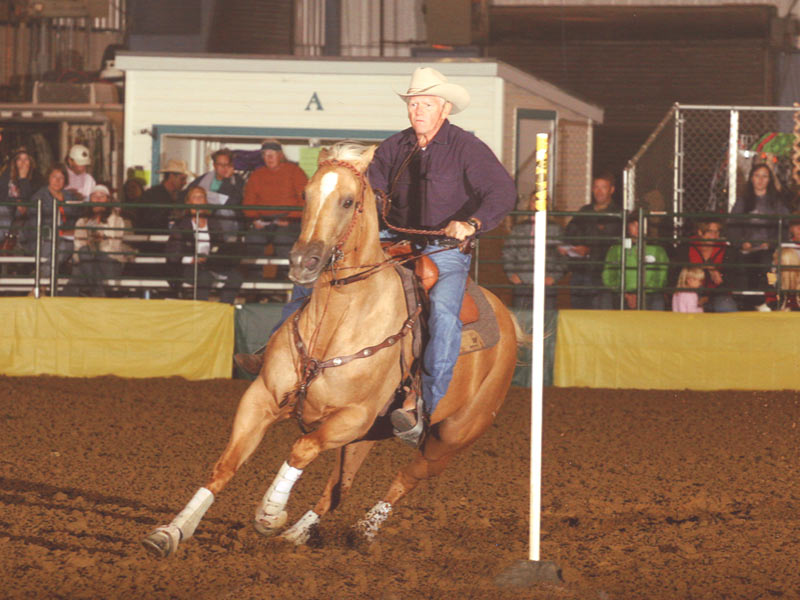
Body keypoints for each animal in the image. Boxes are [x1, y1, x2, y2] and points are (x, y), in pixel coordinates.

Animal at [143, 142, 520, 556]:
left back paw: (363, 531)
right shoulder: (262, 398)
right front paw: (172, 531)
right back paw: (299, 534)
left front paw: (270, 514)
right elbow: (225, 466)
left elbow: (301, 448)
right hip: (367, 436)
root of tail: (508, 321)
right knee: (339, 488)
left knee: (405, 478)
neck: (338, 321)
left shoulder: (351, 417)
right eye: (305, 194)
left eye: (348, 201)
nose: (304, 261)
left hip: (449, 438)